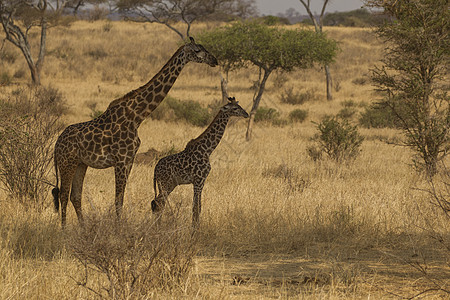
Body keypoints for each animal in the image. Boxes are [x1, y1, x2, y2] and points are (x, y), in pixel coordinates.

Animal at [52, 37, 218, 227]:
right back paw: (64, 229)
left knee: (75, 195)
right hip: (67, 162)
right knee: (63, 195)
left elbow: (120, 198)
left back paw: (83, 227)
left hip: (81, 163)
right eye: (197, 50)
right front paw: (118, 228)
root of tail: (56, 144)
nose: (214, 60)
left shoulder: (129, 160)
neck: (137, 116)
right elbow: (118, 199)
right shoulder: (121, 160)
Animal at [152, 97, 250, 229]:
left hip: (170, 184)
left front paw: (195, 229)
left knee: (158, 203)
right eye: (235, 108)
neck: (207, 150)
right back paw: (157, 227)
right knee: (158, 203)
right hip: (165, 183)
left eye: (239, 106)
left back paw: (157, 226)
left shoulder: (200, 181)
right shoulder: (199, 180)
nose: (246, 114)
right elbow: (196, 208)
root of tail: (155, 169)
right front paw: (195, 230)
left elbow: (197, 207)